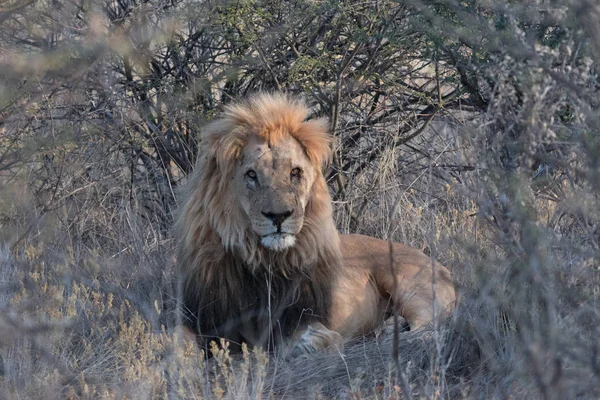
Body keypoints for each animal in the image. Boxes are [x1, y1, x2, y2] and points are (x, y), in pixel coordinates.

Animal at [176, 93, 458, 356]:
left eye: (295, 173)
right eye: (251, 175)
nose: (278, 216)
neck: (263, 261)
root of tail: (442, 266)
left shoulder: (301, 318)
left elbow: (314, 340)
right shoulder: (203, 319)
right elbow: (179, 347)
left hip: (410, 285)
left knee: (430, 330)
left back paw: (386, 333)